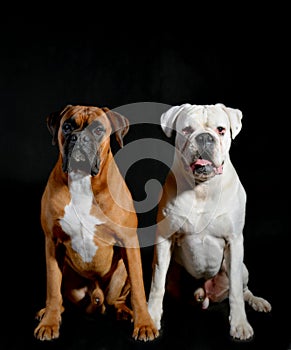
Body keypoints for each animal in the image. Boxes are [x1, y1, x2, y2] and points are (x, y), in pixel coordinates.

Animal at [33, 104, 160, 342]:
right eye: (67, 126)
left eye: (98, 130)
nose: (79, 137)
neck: (82, 181)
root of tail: (97, 297)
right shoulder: (52, 242)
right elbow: (52, 288)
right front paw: (49, 322)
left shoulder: (129, 241)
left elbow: (139, 290)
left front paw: (144, 324)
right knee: (61, 296)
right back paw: (49, 312)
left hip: (121, 273)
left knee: (118, 298)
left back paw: (124, 311)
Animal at [149, 102, 272, 340]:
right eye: (187, 129)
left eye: (221, 130)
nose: (205, 137)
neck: (202, 188)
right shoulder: (164, 240)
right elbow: (156, 284)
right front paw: (149, 318)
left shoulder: (234, 241)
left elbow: (235, 292)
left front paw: (239, 324)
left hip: (242, 267)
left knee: (243, 289)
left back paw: (257, 301)